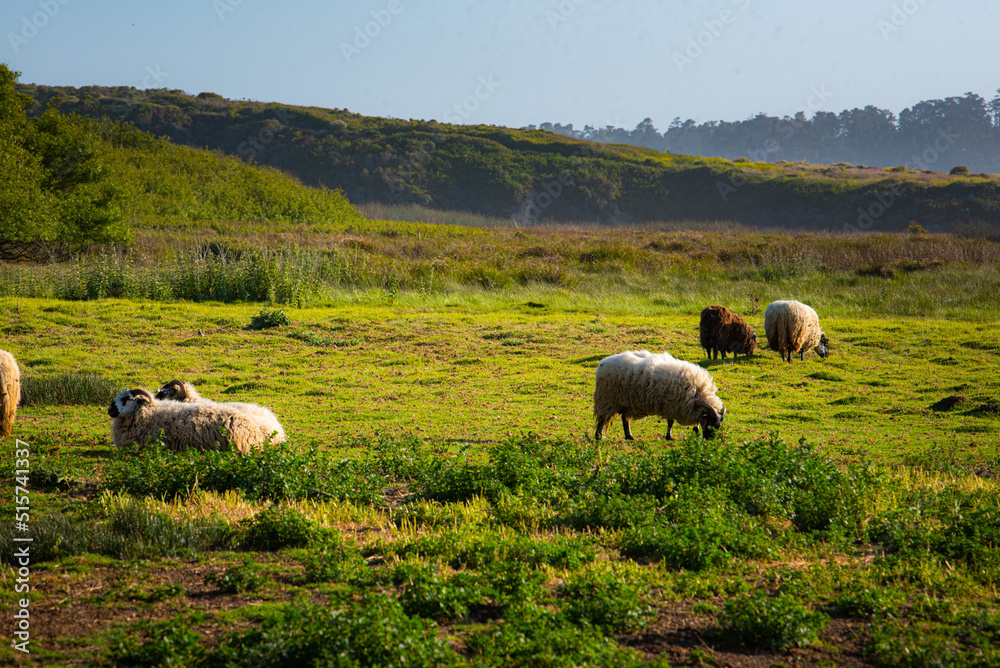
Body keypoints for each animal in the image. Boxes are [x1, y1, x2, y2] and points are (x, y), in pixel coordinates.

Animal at [593, 350, 726, 441]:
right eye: (710, 422)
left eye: (718, 425)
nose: (710, 439)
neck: (696, 393)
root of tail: (602, 363)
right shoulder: (671, 405)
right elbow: (670, 422)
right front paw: (669, 436)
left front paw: (695, 429)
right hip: (606, 399)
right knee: (602, 419)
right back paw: (599, 436)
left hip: (626, 403)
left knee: (625, 419)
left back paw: (629, 436)